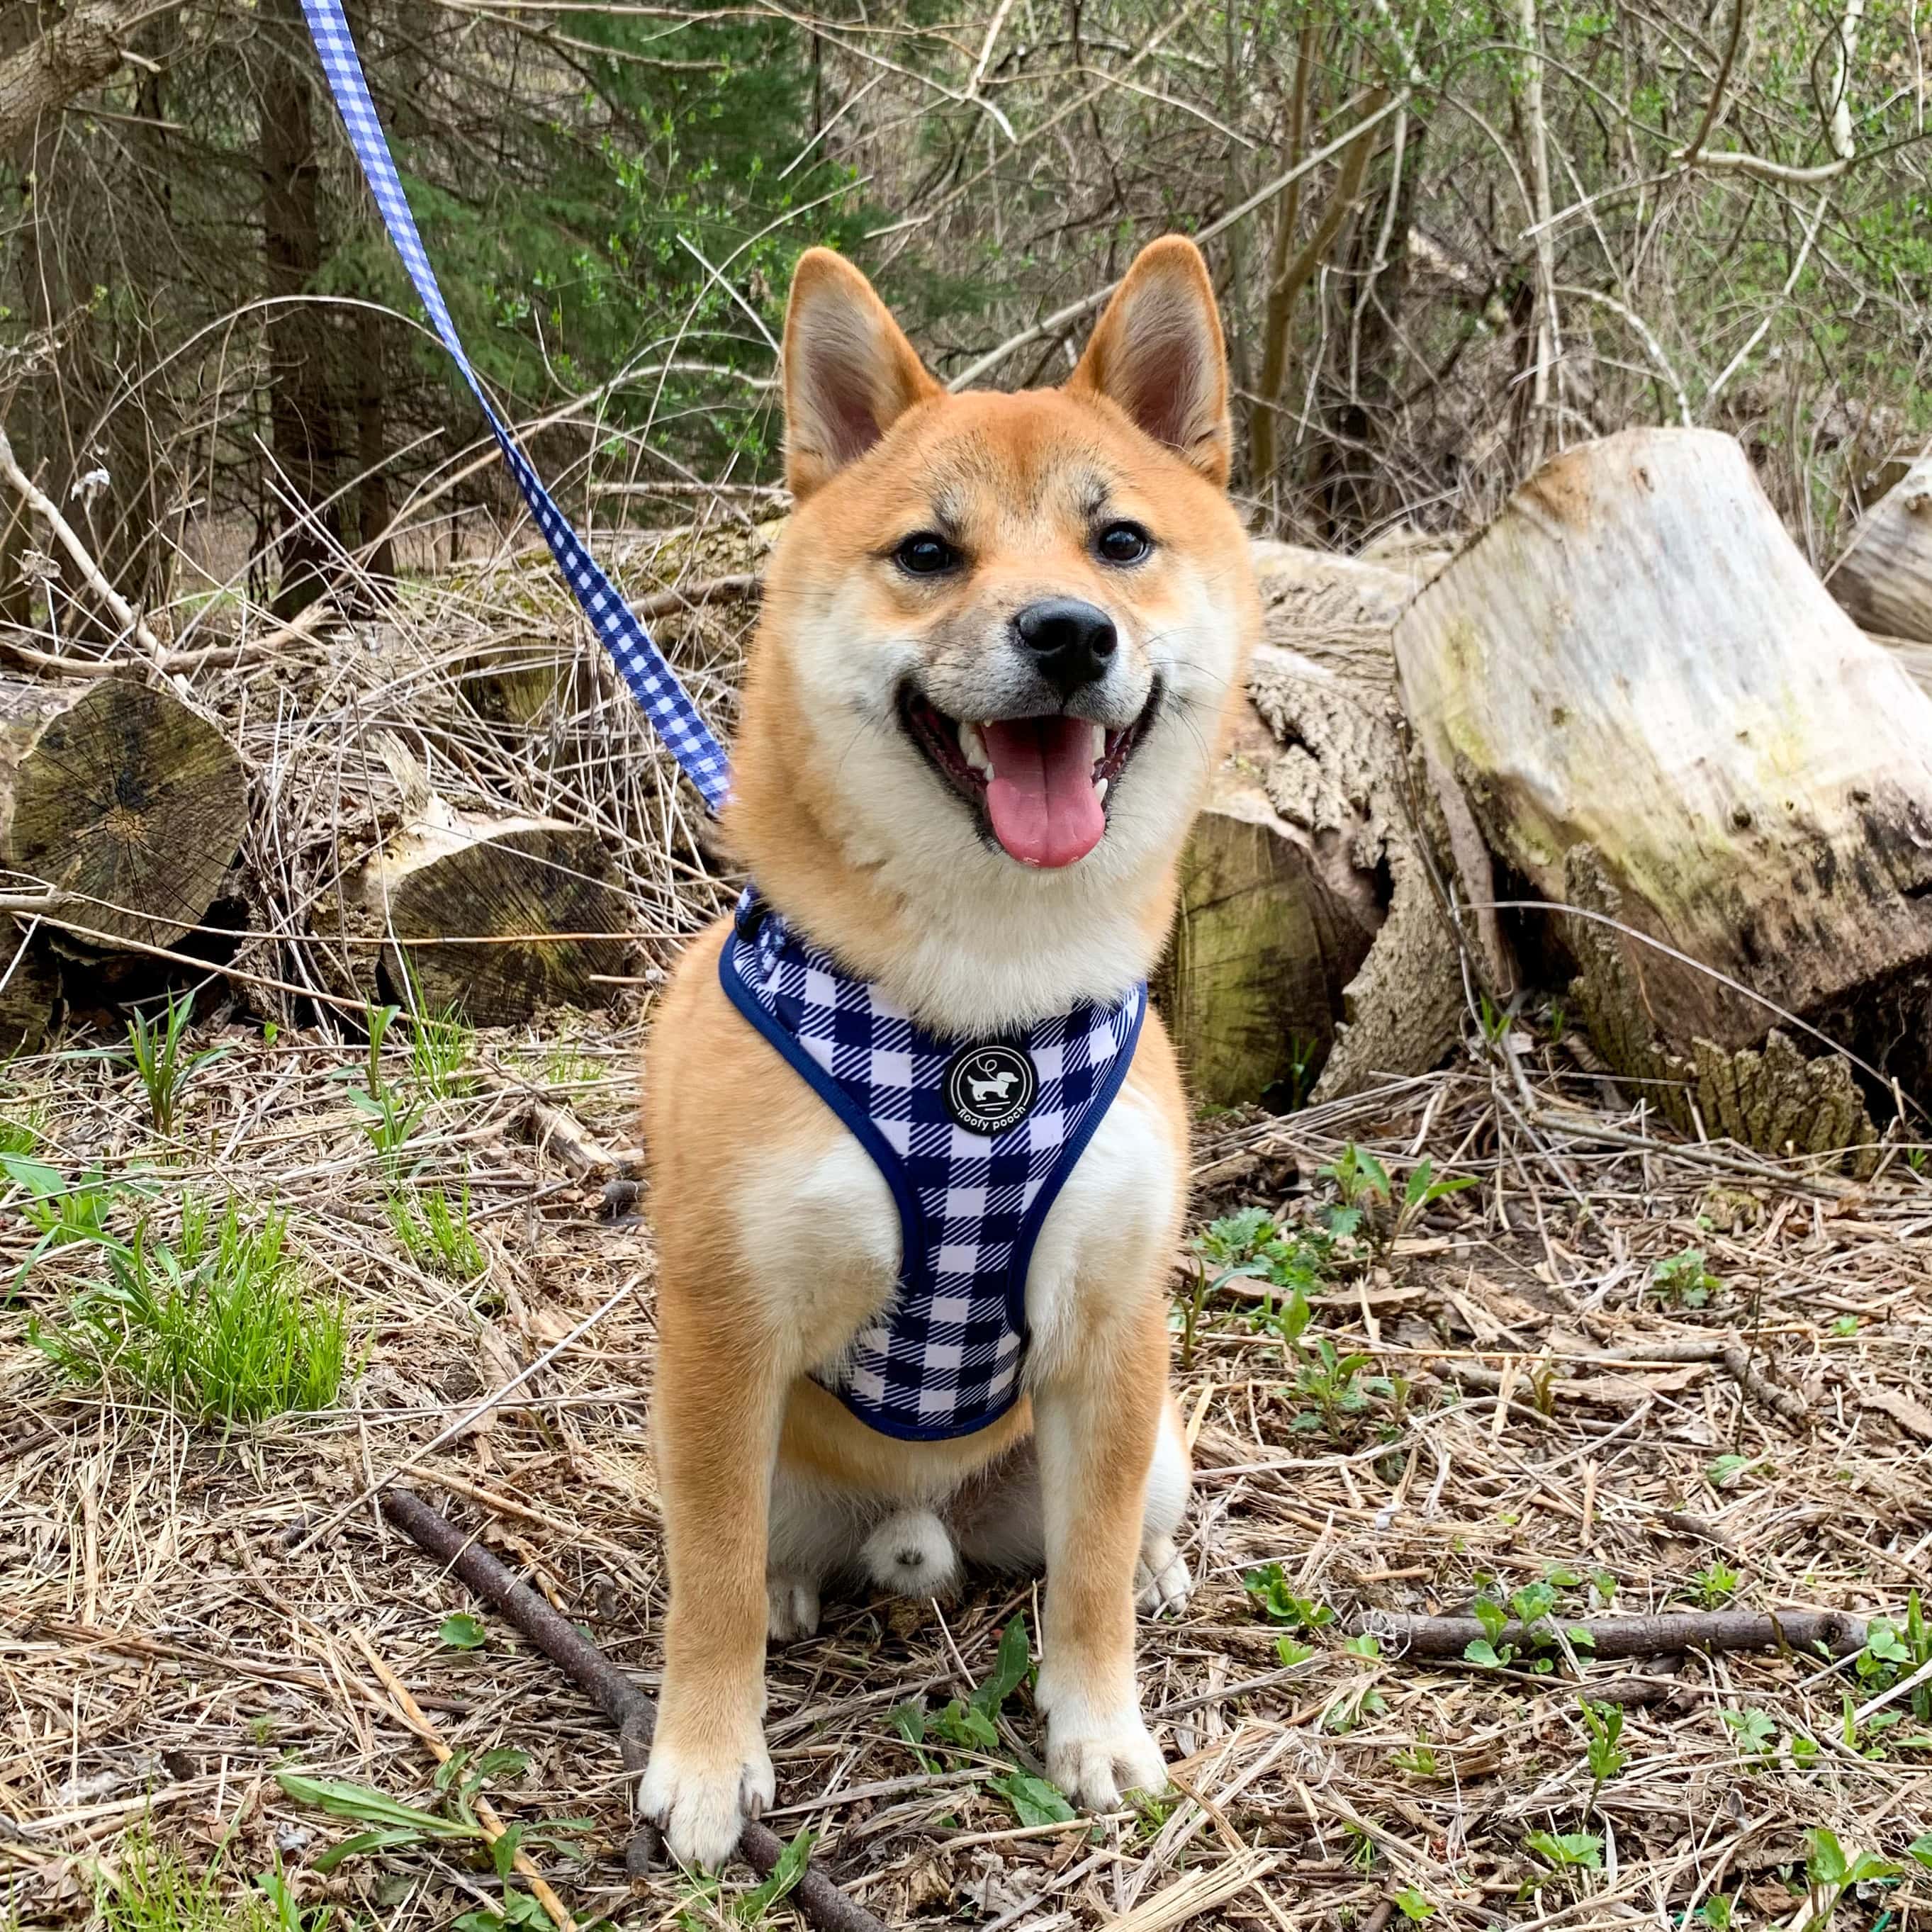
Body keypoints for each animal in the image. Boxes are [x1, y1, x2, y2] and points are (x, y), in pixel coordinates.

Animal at [641, 233, 1259, 1862]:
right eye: (930, 554)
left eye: (1118, 542)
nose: (1068, 633)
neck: (981, 1019)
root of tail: (915, 1529)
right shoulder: (723, 1327)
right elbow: (707, 1583)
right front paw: (705, 1761)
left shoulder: (1112, 1323)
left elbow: (1088, 1581)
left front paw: (1098, 1731)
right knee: (751, 1556)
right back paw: (799, 1589)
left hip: (1143, 1442)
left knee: (1105, 1538)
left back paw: (1154, 1573)